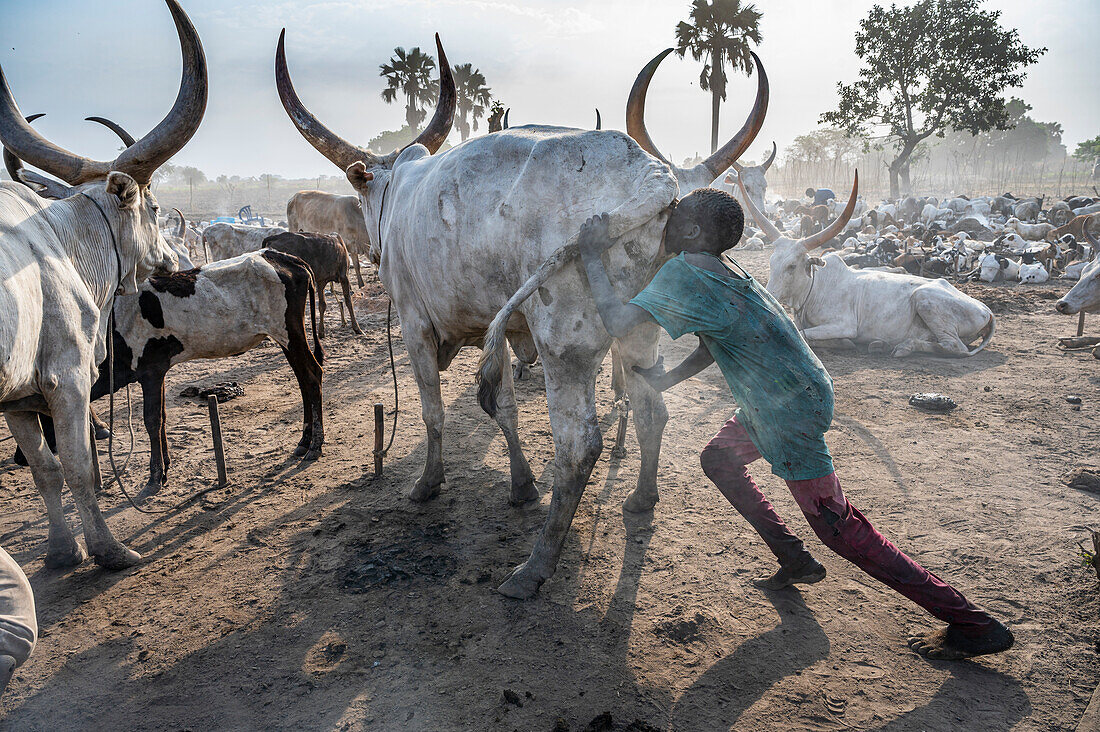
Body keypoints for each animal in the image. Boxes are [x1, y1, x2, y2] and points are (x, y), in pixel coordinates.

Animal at [0, 0, 201, 567]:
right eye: (153, 207)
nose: (176, 260)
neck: (60, 241)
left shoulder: (19, 398)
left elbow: (48, 470)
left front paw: (63, 551)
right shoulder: (63, 380)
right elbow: (76, 468)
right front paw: (106, 551)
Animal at [279, 31, 770, 598]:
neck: (401, 190)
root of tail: (654, 177)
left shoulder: (415, 324)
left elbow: (433, 411)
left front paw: (428, 483)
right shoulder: (501, 327)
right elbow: (506, 410)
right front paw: (521, 486)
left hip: (563, 343)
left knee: (579, 446)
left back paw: (535, 567)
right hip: (640, 331)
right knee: (652, 409)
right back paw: (641, 499)